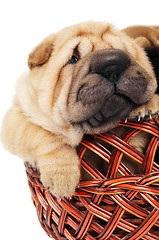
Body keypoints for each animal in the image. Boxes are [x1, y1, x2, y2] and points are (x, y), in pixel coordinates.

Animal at [1, 21, 159, 197]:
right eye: (73, 59)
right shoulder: (18, 116)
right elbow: (46, 135)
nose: (112, 65)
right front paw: (62, 178)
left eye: (128, 54)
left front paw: (146, 105)